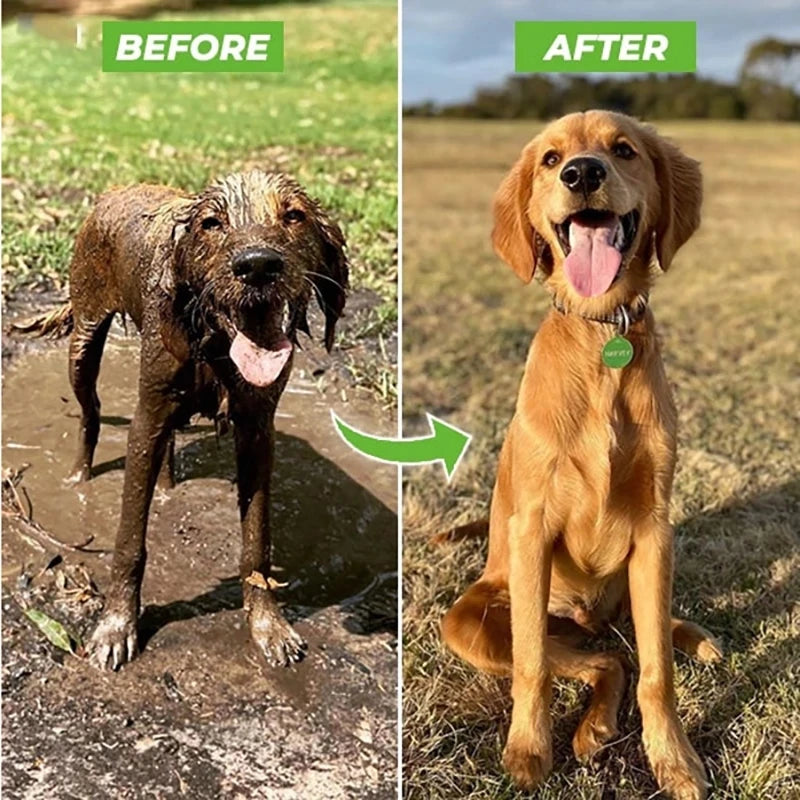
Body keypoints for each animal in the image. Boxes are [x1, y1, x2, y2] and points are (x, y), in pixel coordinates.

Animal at [24, 169, 346, 668]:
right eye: (212, 223)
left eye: (294, 216)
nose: (257, 266)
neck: (212, 341)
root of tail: (117, 189)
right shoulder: (146, 417)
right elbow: (129, 543)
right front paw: (116, 627)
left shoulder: (257, 430)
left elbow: (256, 545)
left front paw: (268, 626)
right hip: (84, 338)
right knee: (90, 412)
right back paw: (79, 476)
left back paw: (167, 484)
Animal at [440, 112, 720, 800]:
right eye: (549, 159)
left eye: (624, 150)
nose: (583, 173)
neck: (602, 336)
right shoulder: (533, 528)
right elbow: (533, 666)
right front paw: (528, 749)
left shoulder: (654, 529)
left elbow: (657, 670)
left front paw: (673, 760)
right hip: (476, 618)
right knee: (598, 658)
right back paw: (591, 729)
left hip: (634, 582)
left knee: (631, 645)